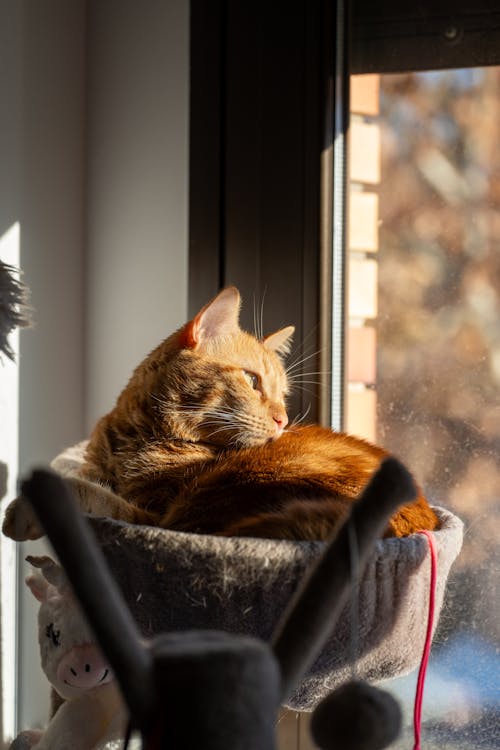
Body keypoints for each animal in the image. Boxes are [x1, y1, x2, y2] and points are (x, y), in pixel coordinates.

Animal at [79, 288, 438, 540]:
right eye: (253, 381)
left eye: (283, 395)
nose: (283, 421)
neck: (134, 440)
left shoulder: (154, 514)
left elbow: (100, 497)